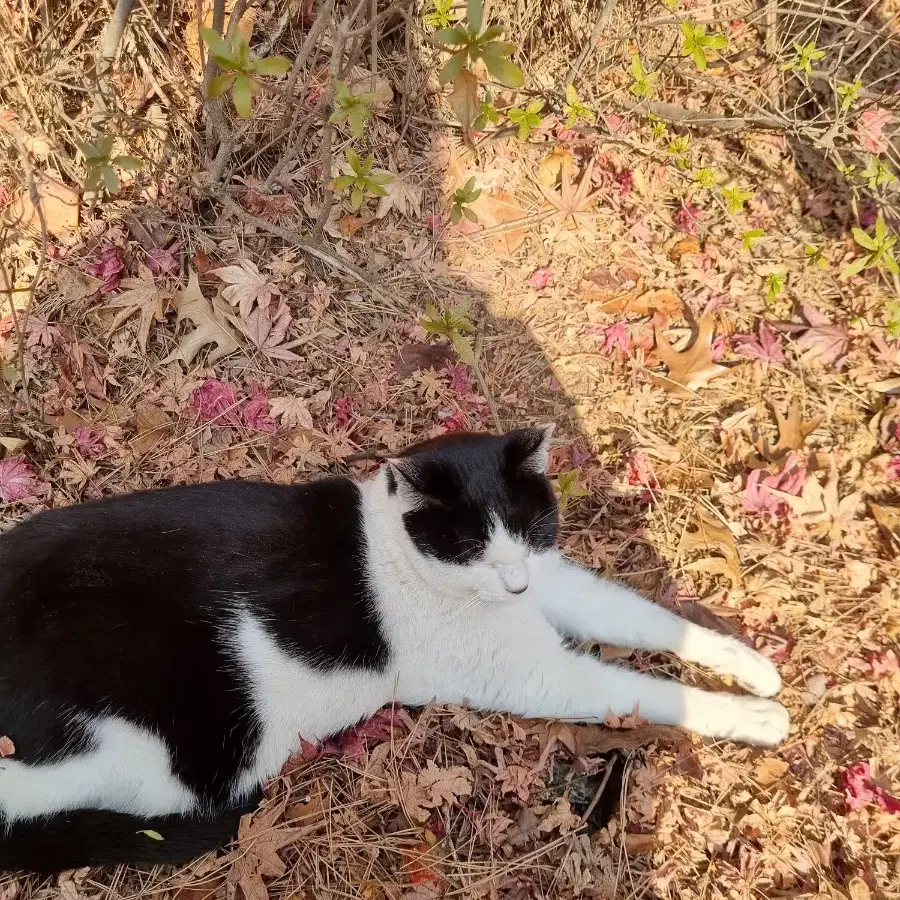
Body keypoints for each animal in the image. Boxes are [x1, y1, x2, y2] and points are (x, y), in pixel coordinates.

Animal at [0, 428, 788, 872]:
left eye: (531, 527)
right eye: (470, 546)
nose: (514, 581)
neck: (401, 553)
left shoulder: (554, 581)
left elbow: (645, 618)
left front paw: (752, 667)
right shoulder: (531, 672)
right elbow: (645, 689)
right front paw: (755, 719)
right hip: (161, 756)